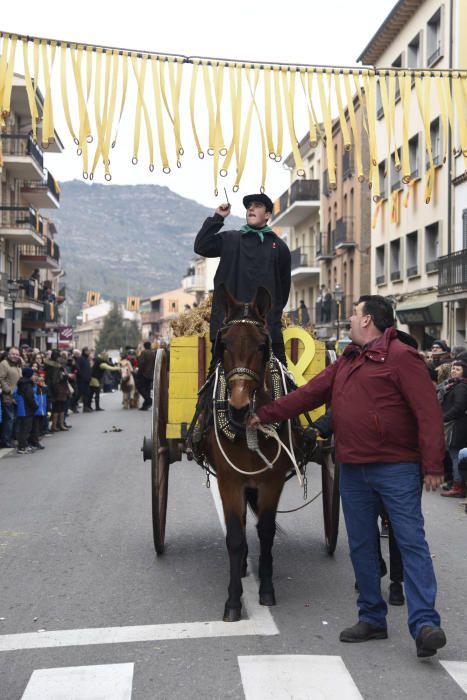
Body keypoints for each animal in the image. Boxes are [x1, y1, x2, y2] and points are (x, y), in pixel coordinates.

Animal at [201, 282, 296, 620]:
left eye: (261, 345)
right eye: (224, 344)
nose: (239, 407)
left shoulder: (272, 482)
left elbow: (265, 531)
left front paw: (266, 588)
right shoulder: (230, 481)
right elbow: (234, 537)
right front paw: (233, 600)